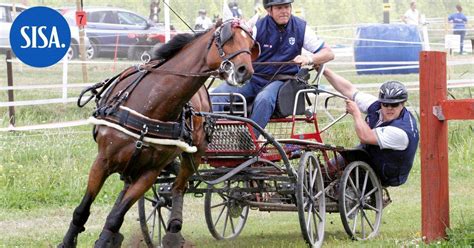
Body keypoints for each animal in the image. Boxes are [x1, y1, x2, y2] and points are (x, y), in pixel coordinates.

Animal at [58, 19, 260, 248]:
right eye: (227, 38)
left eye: (251, 45)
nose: (245, 71)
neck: (152, 103)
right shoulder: (102, 161)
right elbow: (82, 210)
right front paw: (68, 242)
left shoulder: (150, 172)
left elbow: (116, 217)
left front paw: (105, 239)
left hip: (194, 156)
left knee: (179, 187)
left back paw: (173, 231)